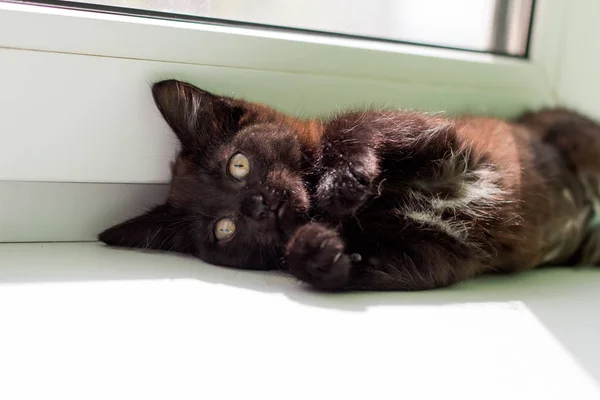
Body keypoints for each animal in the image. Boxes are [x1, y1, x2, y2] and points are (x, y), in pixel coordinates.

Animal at [101, 79, 600, 290]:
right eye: (223, 229)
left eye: (237, 165)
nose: (258, 205)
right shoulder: (440, 255)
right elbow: (393, 267)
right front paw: (317, 252)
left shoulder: (438, 133)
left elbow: (356, 129)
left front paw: (339, 182)